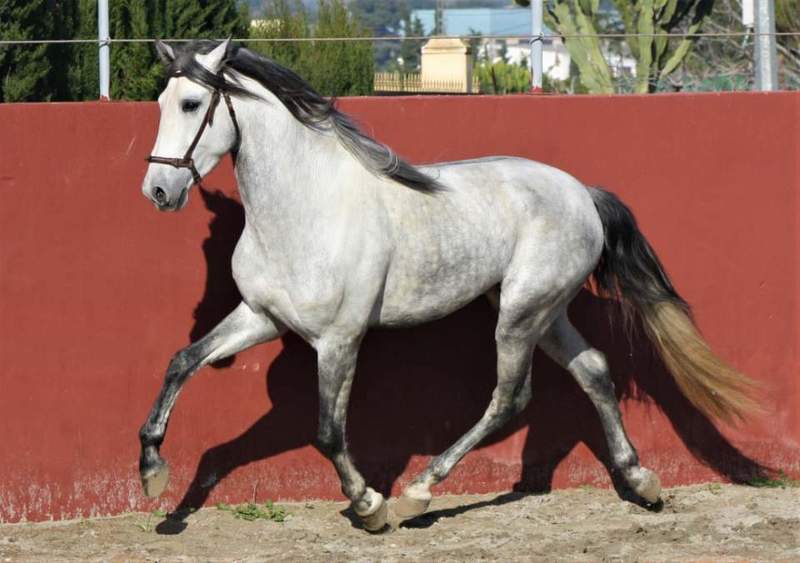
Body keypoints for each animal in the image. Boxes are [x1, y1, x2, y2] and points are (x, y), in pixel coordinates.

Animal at [138, 39, 756, 532]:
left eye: (191, 104)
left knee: (510, 398)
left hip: (520, 315)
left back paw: (418, 493)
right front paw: (152, 474)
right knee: (595, 371)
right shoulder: (261, 317)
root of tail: (582, 192)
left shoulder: (339, 340)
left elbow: (329, 433)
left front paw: (370, 507)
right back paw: (641, 481)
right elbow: (181, 362)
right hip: (544, 311)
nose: (159, 191)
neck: (305, 210)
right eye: (161, 103)